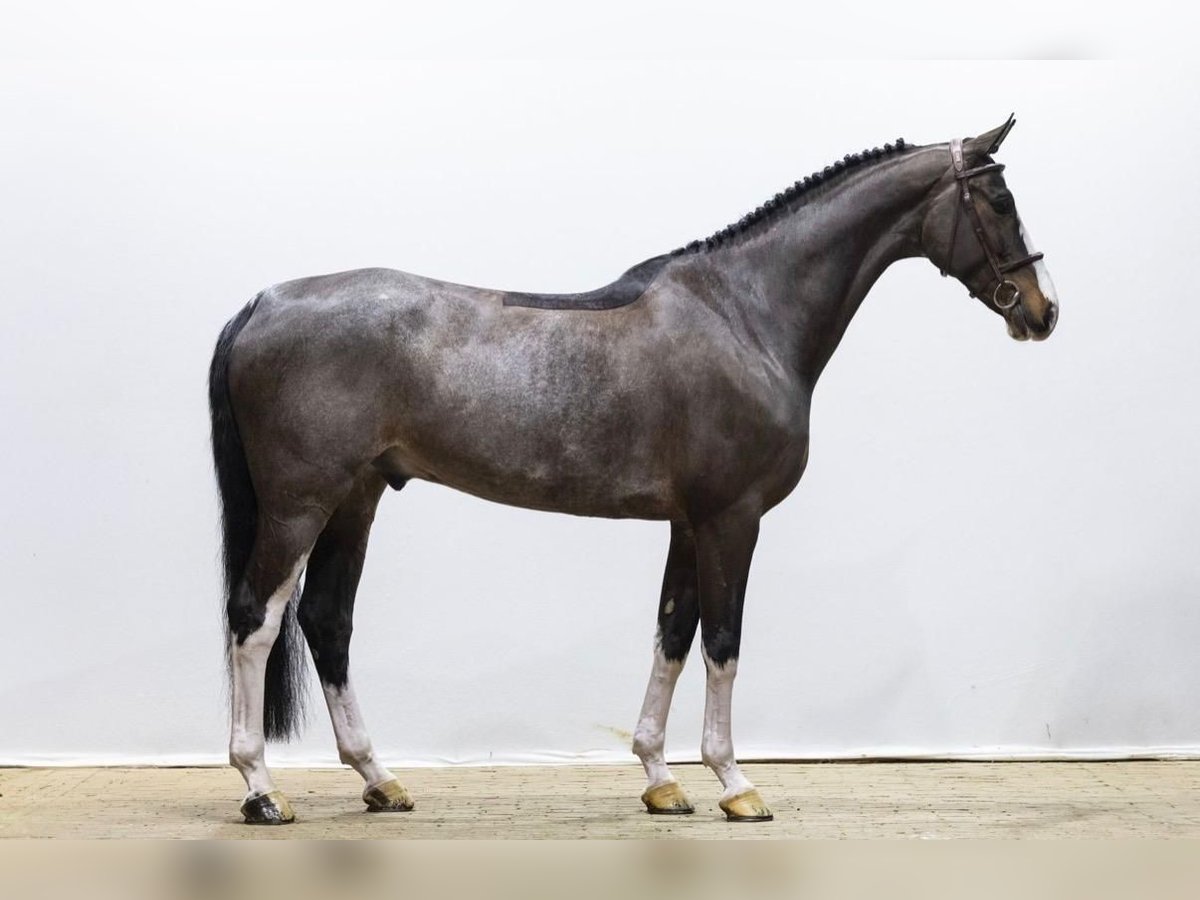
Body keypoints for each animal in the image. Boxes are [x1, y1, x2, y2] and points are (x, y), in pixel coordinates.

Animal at [208, 115, 1058, 825]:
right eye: (1001, 199)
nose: (1042, 312)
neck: (745, 315)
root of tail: (264, 302)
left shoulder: (689, 521)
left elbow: (672, 635)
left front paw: (661, 778)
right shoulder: (731, 519)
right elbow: (723, 643)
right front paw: (736, 784)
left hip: (356, 499)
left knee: (327, 621)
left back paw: (379, 780)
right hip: (299, 504)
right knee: (255, 620)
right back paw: (261, 790)